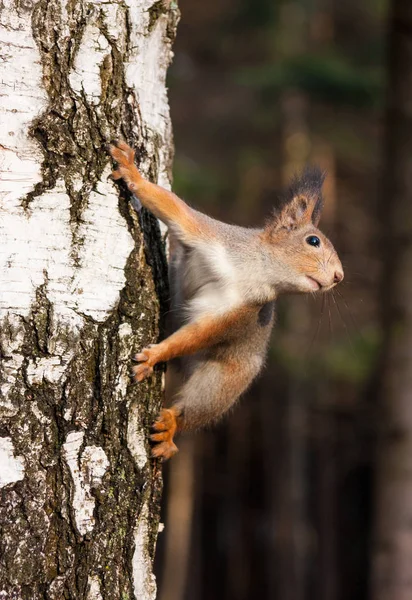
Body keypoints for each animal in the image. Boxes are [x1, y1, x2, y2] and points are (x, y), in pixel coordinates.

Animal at [109, 141, 344, 460]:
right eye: (313, 241)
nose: (339, 276)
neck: (256, 271)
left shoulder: (240, 310)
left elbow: (200, 333)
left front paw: (156, 355)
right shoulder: (213, 236)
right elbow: (175, 210)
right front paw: (133, 172)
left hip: (224, 381)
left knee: (196, 408)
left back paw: (171, 426)